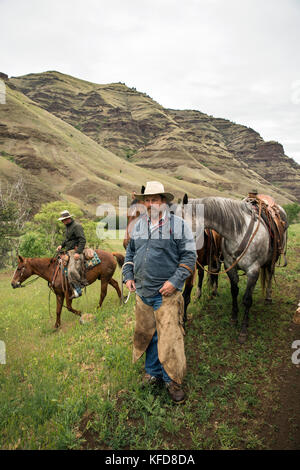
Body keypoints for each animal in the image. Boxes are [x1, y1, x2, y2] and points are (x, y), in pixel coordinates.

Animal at [185, 196, 288, 344]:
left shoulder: (253, 270)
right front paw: (234, 318)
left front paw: (243, 329)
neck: (237, 233)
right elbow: (234, 291)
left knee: (269, 274)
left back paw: (268, 297)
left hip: (273, 259)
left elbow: (247, 299)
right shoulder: (229, 266)